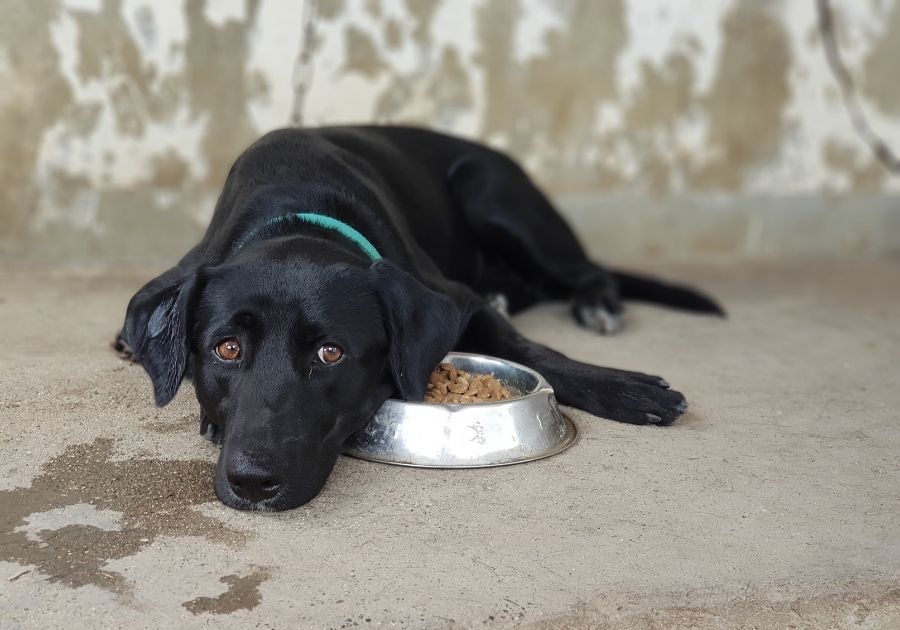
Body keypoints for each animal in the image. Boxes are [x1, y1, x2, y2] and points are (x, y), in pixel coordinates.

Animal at [119, 124, 724, 512]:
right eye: (226, 348)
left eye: (330, 353)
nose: (253, 482)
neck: (297, 214)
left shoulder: (457, 298)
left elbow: (532, 351)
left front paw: (626, 389)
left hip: (492, 193)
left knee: (587, 271)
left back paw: (596, 304)